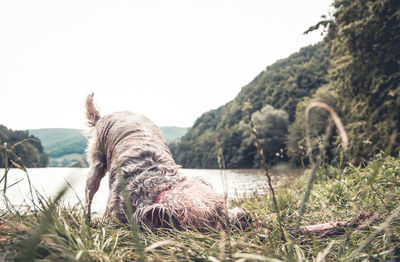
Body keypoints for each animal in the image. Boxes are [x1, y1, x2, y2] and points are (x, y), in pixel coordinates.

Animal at [84, 94, 250, 231]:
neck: (156, 185)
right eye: (213, 218)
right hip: (96, 164)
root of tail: (103, 117)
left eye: (222, 205)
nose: (246, 216)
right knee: (89, 194)